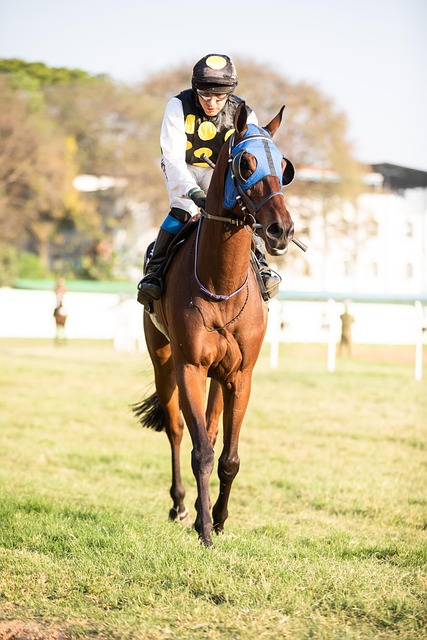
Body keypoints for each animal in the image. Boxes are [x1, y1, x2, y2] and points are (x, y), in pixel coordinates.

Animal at [133, 102, 296, 547]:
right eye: (246, 164)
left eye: (284, 167)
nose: (281, 229)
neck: (221, 285)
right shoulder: (189, 366)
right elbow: (201, 451)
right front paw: (204, 527)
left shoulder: (240, 374)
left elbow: (228, 456)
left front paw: (220, 520)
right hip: (163, 359)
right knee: (176, 429)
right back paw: (180, 506)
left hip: (220, 377)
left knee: (208, 427)